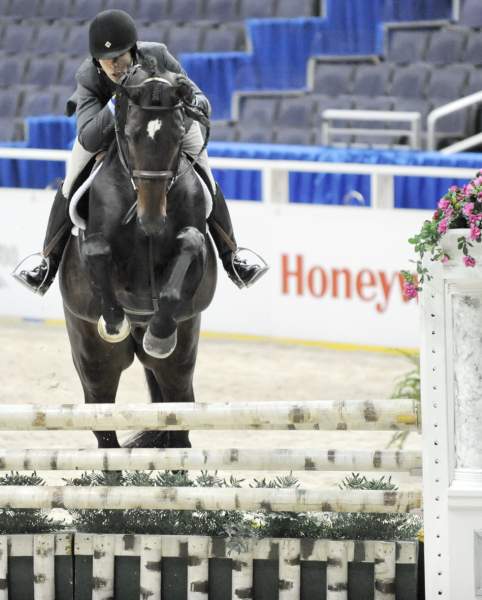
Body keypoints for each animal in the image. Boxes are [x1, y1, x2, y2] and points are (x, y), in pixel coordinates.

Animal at [59, 59, 217, 450]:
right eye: (130, 136)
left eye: (177, 135)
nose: (151, 220)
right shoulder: (95, 246)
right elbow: (98, 250)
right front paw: (115, 319)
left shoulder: (195, 253)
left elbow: (189, 247)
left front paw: (159, 333)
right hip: (94, 362)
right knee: (104, 430)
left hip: (180, 361)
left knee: (178, 421)